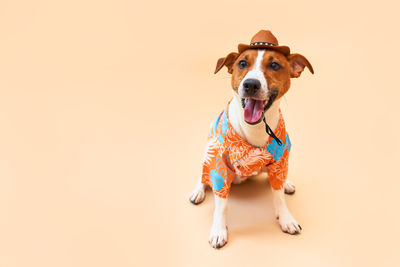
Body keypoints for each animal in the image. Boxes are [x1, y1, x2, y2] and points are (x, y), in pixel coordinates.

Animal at [189, 30, 314, 250]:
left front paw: (286, 218)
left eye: (275, 65)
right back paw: (199, 191)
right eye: (241, 63)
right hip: (208, 152)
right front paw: (219, 230)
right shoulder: (219, 166)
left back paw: (287, 183)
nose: (250, 84)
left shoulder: (280, 161)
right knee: (204, 175)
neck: (254, 128)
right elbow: (221, 205)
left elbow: (278, 196)